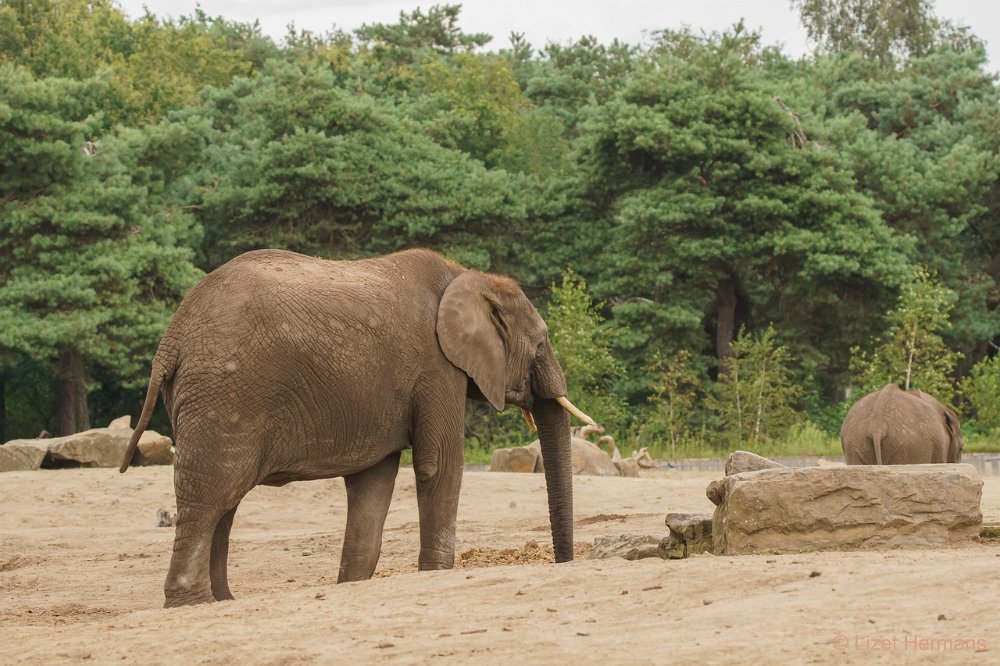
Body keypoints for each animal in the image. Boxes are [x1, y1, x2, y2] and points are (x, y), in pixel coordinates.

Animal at [122, 246, 596, 604]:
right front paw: (435, 573)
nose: (562, 562)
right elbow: (438, 465)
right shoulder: (436, 367)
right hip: (224, 393)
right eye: (542, 343)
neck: (466, 276)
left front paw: (351, 584)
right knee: (213, 493)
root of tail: (171, 339)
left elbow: (374, 481)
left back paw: (223, 601)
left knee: (225, 500)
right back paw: (193, 603)